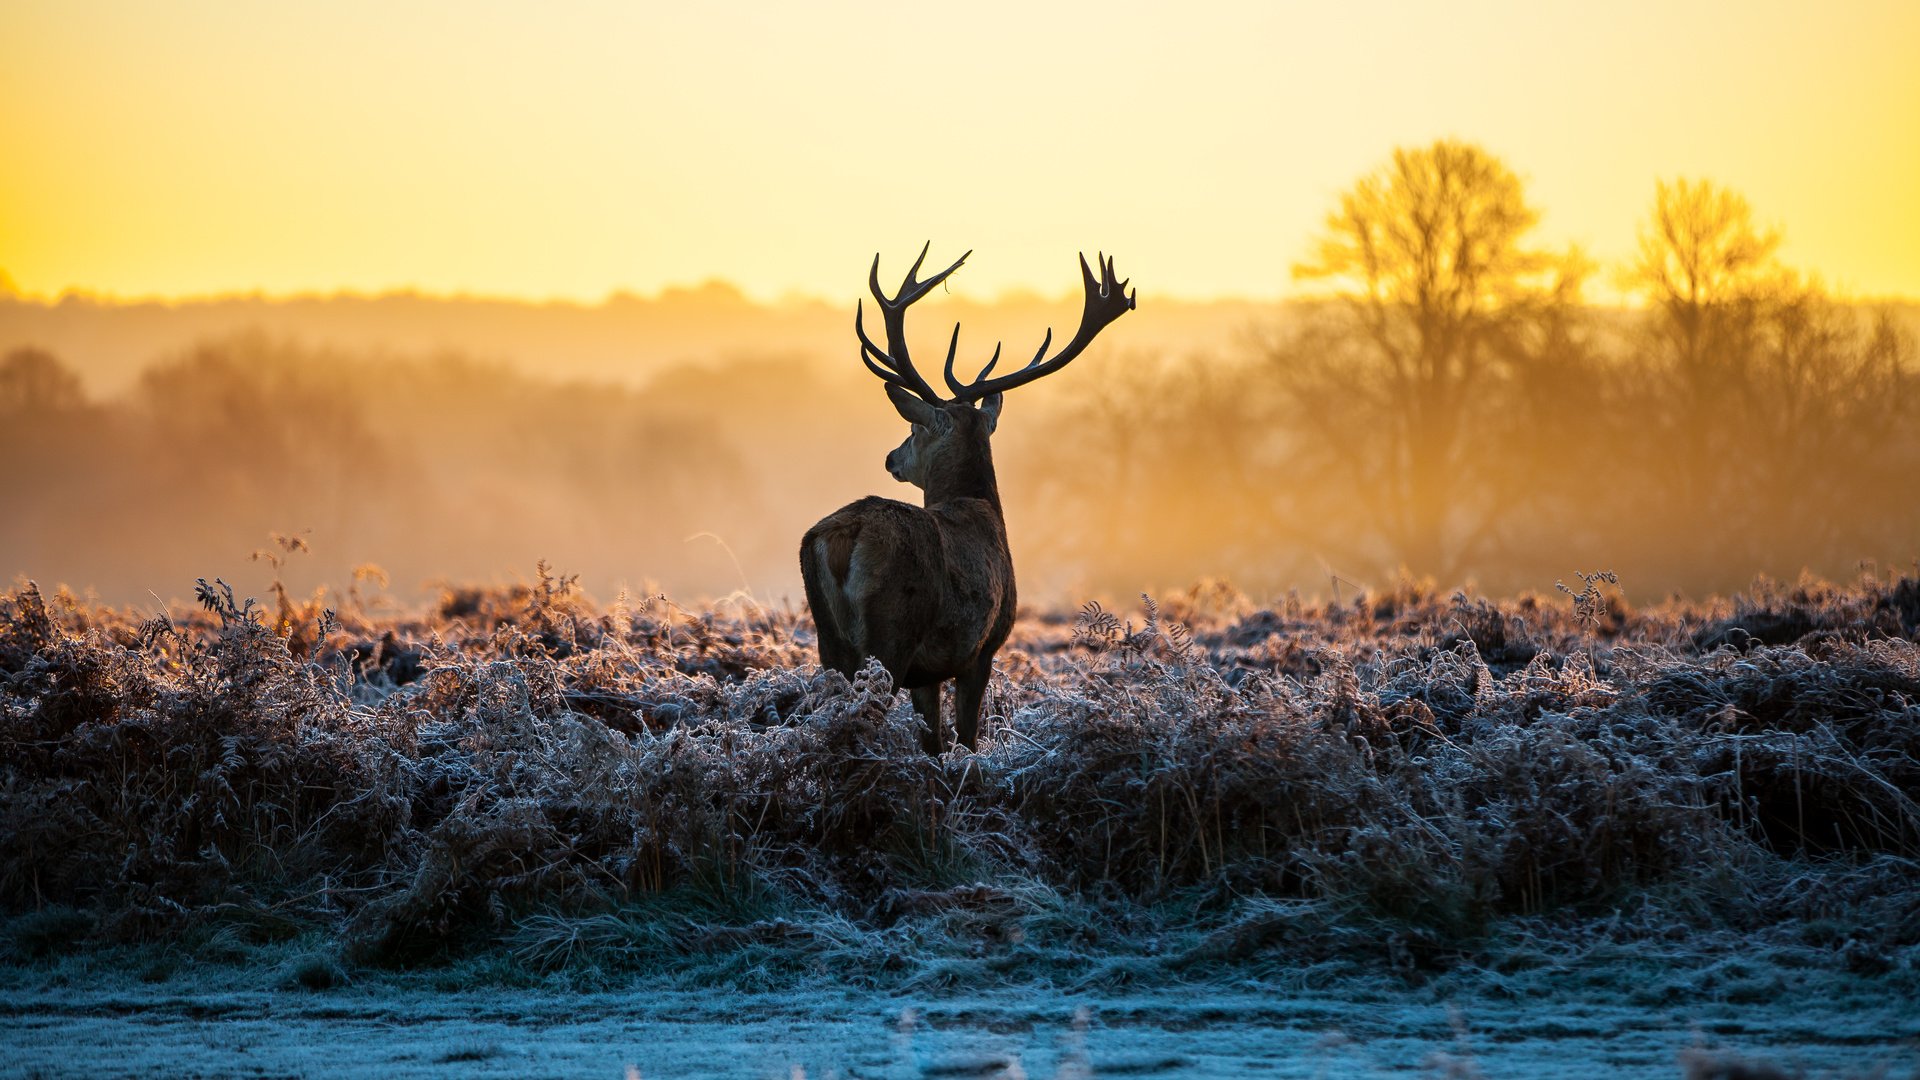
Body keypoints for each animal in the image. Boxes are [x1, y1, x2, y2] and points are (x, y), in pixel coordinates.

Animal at [798, 243, 1128, 749]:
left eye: (914, 429)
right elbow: (967, 738)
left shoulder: (929, 672)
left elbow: (933, 742)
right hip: (891, 633)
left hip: (828, 640)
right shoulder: (982, 649)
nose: (891, 458)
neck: (981, 507)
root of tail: (841, 537)